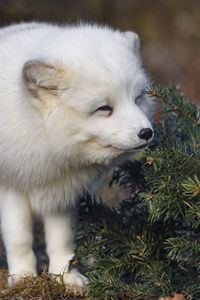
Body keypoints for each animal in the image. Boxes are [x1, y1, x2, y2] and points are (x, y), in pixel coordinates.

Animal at [0, 22, 154, 288]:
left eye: (137, 99)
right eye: (104, 108)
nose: (147, 133)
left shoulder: (63, 194)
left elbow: (62, 241)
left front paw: (66, 277)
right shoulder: (11, 187)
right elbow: (19, 239)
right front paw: (22, 278)